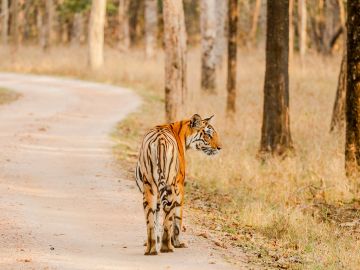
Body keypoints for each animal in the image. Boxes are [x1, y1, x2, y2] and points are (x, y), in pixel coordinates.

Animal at [134, 113, 221, 255]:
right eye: (208, 135)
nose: (220, 148)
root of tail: (160, 140)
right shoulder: (180, 185)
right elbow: (178, 218)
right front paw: (178, 243)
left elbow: (157, 218)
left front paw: (156, 240)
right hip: (170, 185)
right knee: (169, 218)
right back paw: (168, 247)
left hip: (149, 187)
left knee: (150, 219)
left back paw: (151, 248)